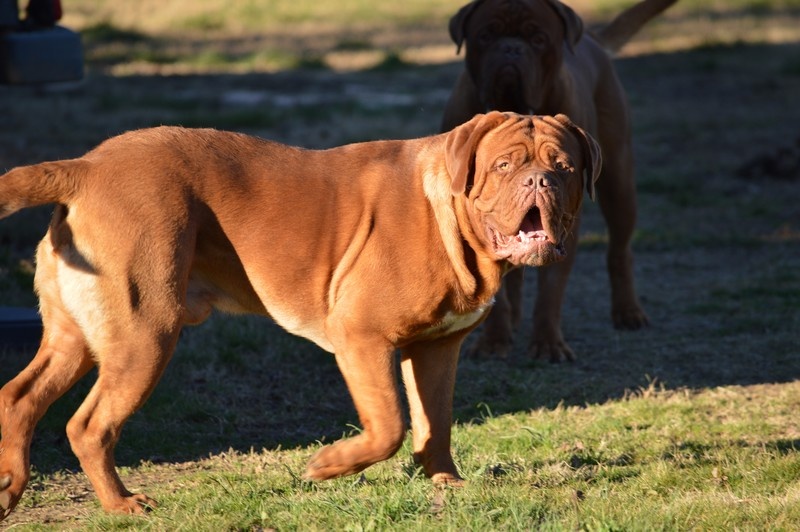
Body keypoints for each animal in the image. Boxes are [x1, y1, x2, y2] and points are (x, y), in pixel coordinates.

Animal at [0, 112, 600, 520]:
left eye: (565, 167)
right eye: (504, 165)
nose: (540, 182)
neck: (453, 221)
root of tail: (86, 167)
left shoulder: (436, 348)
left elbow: (436, 423)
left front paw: (444, 483)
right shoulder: (362, 337)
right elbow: (390, 424)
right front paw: (326, 466)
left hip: (77, 335)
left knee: (20, 395)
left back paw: (10, 487)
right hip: (144, 335)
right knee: (88, 424)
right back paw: (121, 505)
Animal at [440, 0, 672, 362]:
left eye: (538, 39)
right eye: (486, 35)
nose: (511, 48)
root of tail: (591, 38)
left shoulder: (565, 230)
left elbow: (551, 288)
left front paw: (548, 344)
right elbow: (498, 291)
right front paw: (494, 341)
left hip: (619, 185)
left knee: (620, 250)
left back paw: (628, 312)